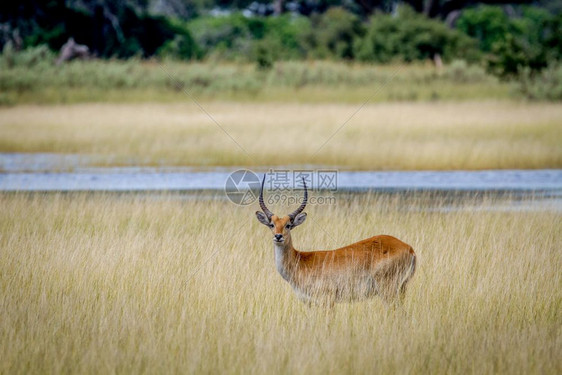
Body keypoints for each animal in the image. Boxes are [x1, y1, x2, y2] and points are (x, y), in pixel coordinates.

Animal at [256, 178, 414, 306]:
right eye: (272, 224)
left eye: (288, 225)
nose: (278, 236)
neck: (299, 261)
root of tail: (409, 248)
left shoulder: (328, 301)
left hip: (388, 291)